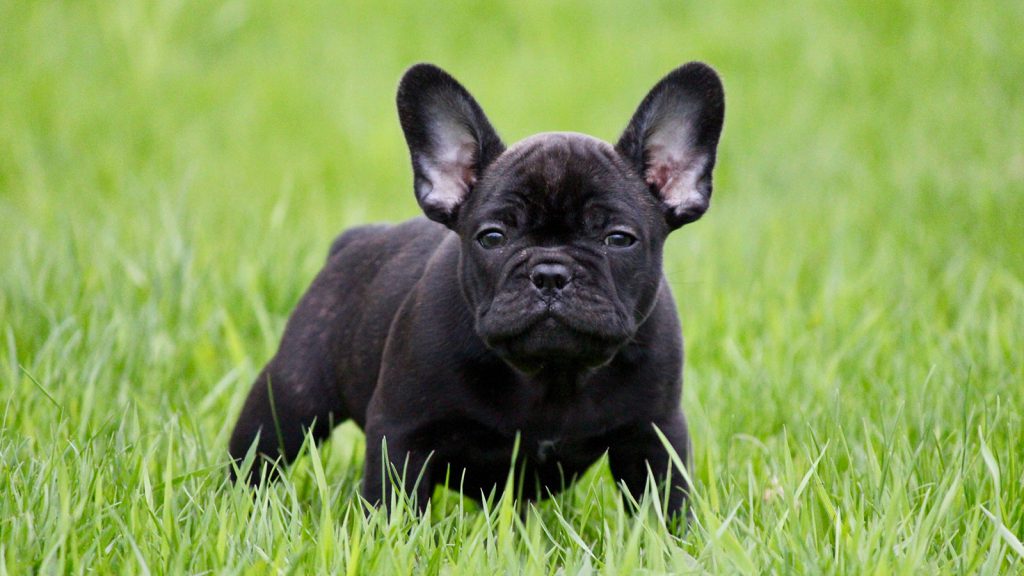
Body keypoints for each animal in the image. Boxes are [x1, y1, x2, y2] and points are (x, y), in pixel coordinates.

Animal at [228, 62, 725, 520]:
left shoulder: (652, 438)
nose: (550, 272)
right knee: (258, 458)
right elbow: (394, 507)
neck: (551, 373)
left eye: (619, 239)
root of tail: (355, 240)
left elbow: (664, 509)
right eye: (492, 238)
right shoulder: (403, 434)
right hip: (291, 398)